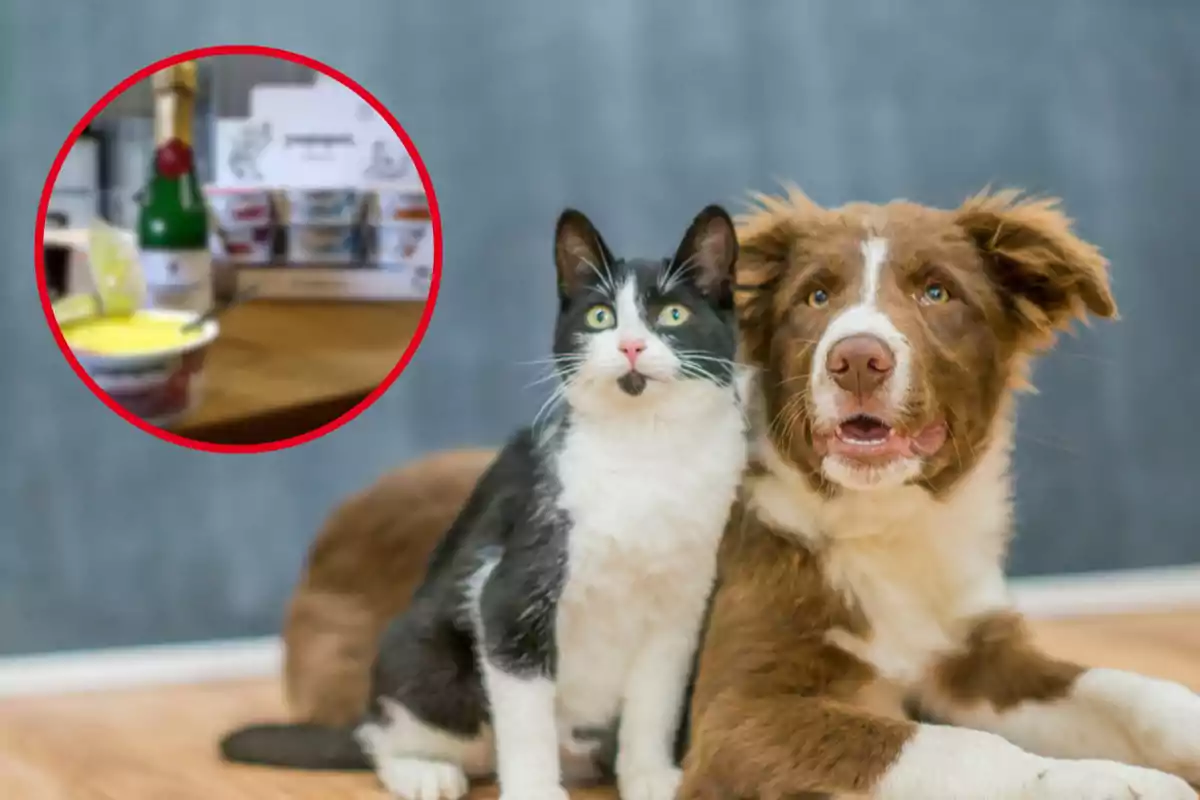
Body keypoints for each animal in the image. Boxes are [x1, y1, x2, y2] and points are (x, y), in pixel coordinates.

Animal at [223, 205, 748, 800]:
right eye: (600, 317)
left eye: (674, 315)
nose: (630, 346)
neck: (646, 451)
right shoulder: (511, 592)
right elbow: (525, 717)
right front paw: (536, 792)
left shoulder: (680, 609)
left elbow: (653, 706)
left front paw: (651, 779)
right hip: (431, 659)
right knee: (381, 734)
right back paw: (423, 771)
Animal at [681, 189, 1195, 800]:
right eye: (816, 296)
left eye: (936, 292)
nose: (857, 360)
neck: (886, 523)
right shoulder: (735, 714)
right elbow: (949, 744)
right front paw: (1097, 780)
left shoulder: (978, 659)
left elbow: (1130, 689)